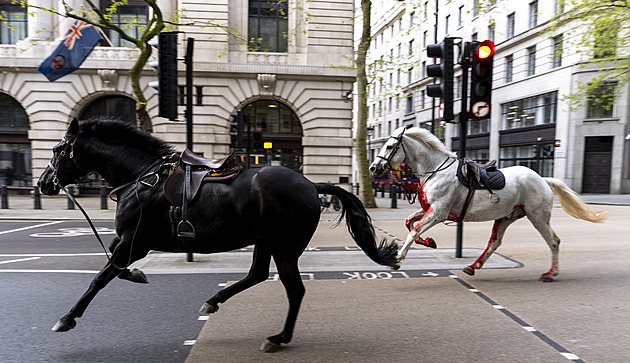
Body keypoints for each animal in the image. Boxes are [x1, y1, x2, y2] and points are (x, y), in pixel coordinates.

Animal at [38, 118, 400, 352]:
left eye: (57, 150)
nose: (43, 184)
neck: (141, 178)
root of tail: (311, 185)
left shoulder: (135, 242)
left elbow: (100, 277)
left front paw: (67, 318)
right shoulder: (128, 241)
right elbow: (113, 266)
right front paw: (137, 275)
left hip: (285, 247)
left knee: (294, 290)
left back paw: (279, 338)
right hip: (265, 241)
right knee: (257, 275)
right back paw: (214, 301)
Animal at [372, 126, 608, 282]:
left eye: (390, 146)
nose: (374, 168)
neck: (436, 170)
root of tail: (542, 179)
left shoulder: (438, 212)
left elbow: (414, 230)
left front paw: (398, 258)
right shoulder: (429, 209)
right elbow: (409, 223)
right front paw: (429, 242)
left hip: (538, 217)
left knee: (553, 241)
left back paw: (551, 273)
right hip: (506, 217)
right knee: (495, 243)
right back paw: (472, 266)